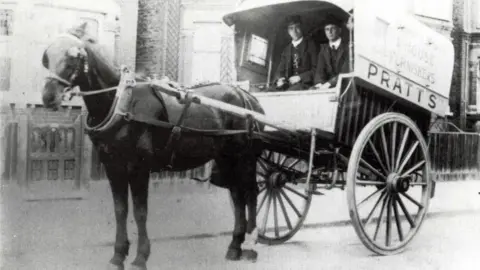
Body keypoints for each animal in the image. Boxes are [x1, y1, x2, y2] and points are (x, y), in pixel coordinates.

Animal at [41, 22, 264, 268]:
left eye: (74, 56)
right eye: (47, 56)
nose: (48, 97)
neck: (121, 103)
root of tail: (246, 96)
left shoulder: (138, 167)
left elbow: (140, 212)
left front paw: (140, 257)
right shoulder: (113, 166)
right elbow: (120, 210)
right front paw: (118, 255)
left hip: (245, 158)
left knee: (251, 193)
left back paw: (251, 247)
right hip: (226, 158)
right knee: (237, 195)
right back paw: (234, 246)